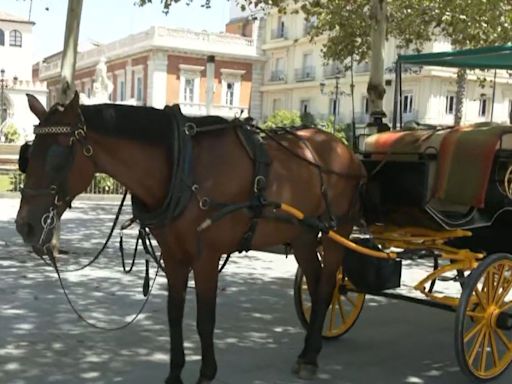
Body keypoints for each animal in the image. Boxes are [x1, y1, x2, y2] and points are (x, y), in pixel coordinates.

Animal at [16, 93, 366, 384]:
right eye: (28, 155)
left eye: (58, 155)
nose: (25, 226)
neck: (181, 165)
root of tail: (343, 150)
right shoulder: (174, 256)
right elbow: (174, 314)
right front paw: (175, 374)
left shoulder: (206, 257)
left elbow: (204, 319)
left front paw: (206, 373)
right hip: (303, 235)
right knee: (316, 281)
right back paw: (310, 349)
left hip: (338, 231)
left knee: (327, 286)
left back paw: (311, 356)